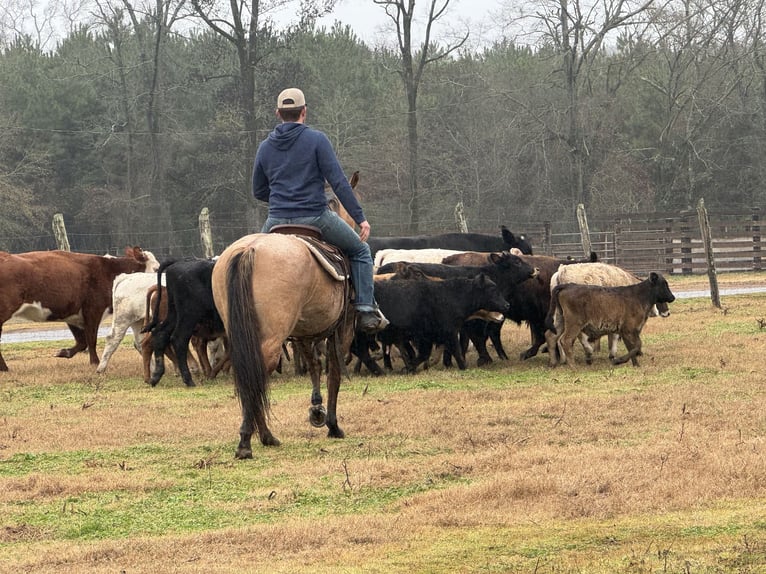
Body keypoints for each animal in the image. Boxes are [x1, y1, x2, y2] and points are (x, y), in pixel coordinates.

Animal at [0, 245, 158, 372]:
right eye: (156, 268)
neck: (108, 271)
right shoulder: (93, 311)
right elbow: (91, 339)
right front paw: (95, 362)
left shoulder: (73, 315)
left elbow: (82, 342)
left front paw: (64, 352)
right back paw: (4, 368)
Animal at [142, 258, 225, 390]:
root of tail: (179, 262)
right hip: (188, 316)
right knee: (179, 339)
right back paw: (189, 379)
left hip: (174, 314)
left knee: (160, 334)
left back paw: (156, 376)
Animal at [210, 232, 354, 462]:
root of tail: (249, 249)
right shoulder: (342, 328)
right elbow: (334, 374)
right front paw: (333, 426)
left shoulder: (304, 332)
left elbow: (314, 365)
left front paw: (317, 408)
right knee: (256, 377)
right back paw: (249, 442)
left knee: (249, 376)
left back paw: (263, 437)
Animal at [544, 272, 680, 368]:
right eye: (664, 284)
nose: (672, 297)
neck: (639, 296)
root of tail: (567, 285)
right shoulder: (629, 329)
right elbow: (637, 345)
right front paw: (618, 361)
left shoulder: (625, 331)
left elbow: (632, 347)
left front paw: (635, 364)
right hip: (574, 324)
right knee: (566, 340)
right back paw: (573, 366)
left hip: (560, 320)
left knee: (551, 336)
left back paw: (553, 363)